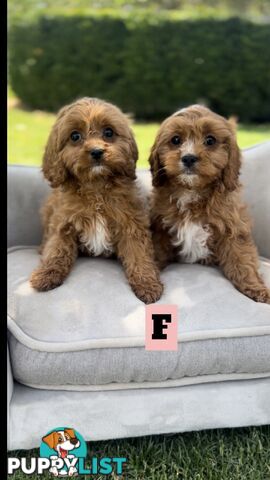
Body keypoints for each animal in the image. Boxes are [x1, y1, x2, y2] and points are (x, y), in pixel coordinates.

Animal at [30, 96, 163, 304]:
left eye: (108, 132)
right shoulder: (63, 223)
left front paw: (147, 284)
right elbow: (57, 249)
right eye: (75, 136)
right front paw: (46, 274)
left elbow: (139, 254)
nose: (97, 151)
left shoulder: (130, 224)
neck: (96, 187)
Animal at [150, 105, 270, 304]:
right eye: (176, 140)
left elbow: (242, 259)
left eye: (210, 140)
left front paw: (256, 288)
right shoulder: (161, 229)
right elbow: (156, 252)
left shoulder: (232, 228)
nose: (189, 158)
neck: (192, 191)